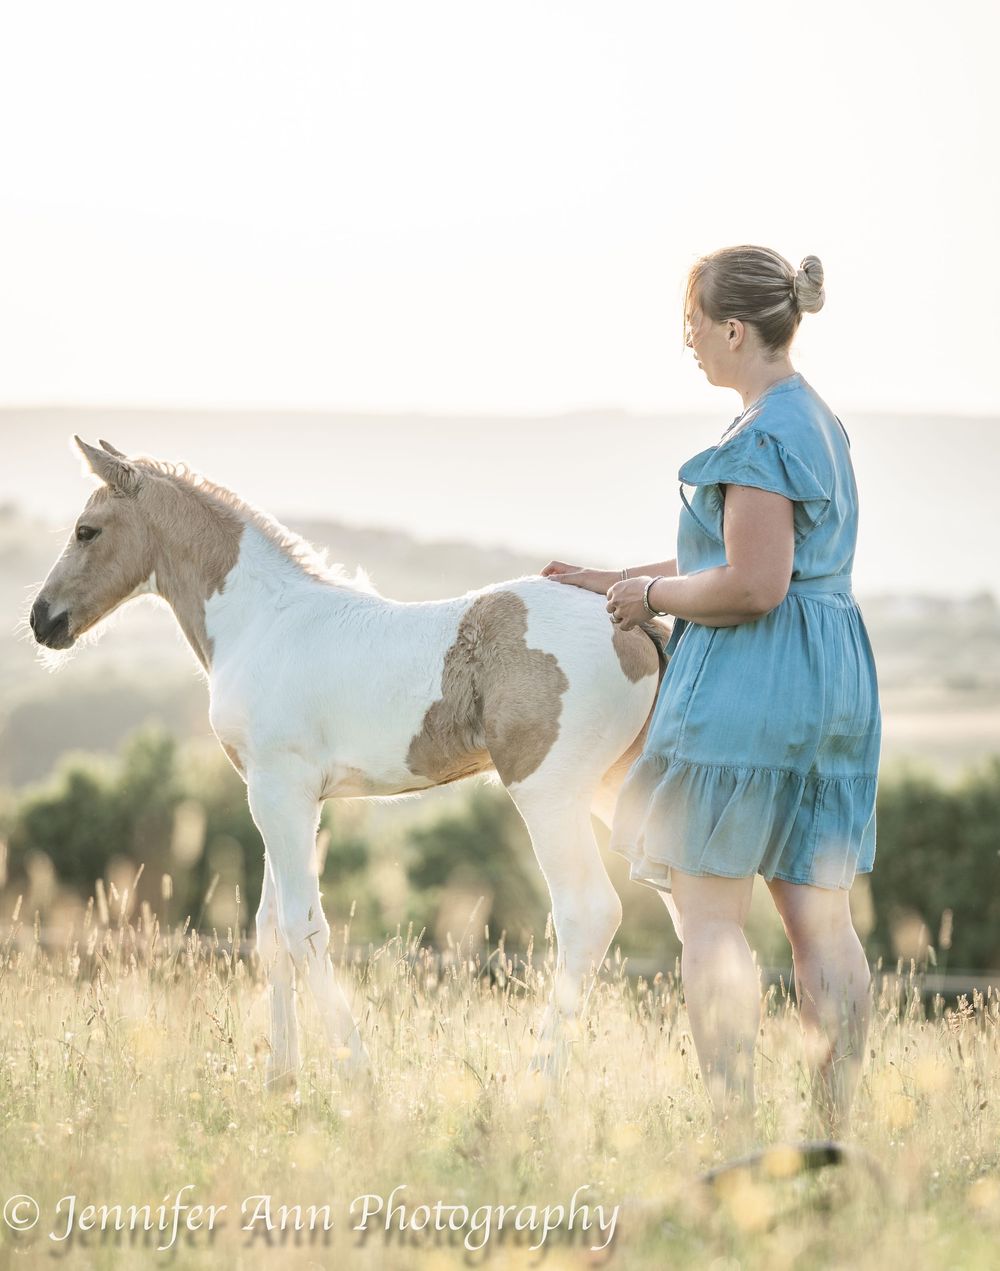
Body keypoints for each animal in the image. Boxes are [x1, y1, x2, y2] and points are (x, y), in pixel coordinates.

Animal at [29, 436, 679, 1087]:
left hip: (548, 792)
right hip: (618, 789)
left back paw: (536, 1085)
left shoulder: (279, 792)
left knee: (587, 913)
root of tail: (630, 618)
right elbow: (270, 930)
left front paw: (356, 1075)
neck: (262, 622)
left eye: (87, 531)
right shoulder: (278, 796)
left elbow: (303, 928)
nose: (41, 619)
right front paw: (281, 1081)